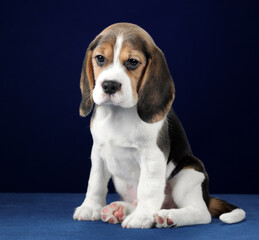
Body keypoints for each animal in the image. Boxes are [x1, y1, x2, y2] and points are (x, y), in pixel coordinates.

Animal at [72, 23, 246, 229]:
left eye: (132, 62)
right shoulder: (98, 151)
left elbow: (147, 189)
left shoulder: (152, 156)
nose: (109, 85)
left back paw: (168, 216)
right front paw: (90, 207)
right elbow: (95, 182)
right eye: (100, 58)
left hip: (189, 174)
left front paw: (142, 217)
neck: (119, 114)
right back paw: (119, 210)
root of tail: (207, 197)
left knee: (201, 213)